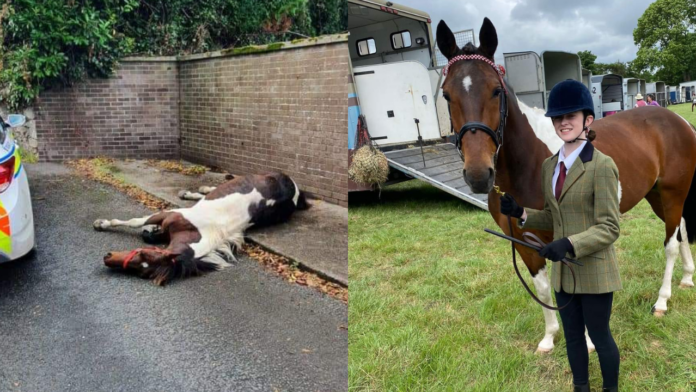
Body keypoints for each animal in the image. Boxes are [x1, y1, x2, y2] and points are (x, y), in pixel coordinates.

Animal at [92, 172, 308, 284]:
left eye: (143, 261)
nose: (107, 258)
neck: (196, 232)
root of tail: (293, 187)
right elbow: (141, 224)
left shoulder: (170, 214)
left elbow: (137, 222)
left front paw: (102, 223)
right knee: (212, 190)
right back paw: (193, 192)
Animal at [438, 17, 696, 352]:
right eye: (446, 95)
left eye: (496, 90)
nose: (479, 174)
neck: (529, 163)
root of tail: (680, 122)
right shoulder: (523, 239)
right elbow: (543, 287)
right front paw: (549, 338)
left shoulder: (569, 236)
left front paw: (586, 343)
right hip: (657, 197)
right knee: (682, 230)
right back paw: (687, 278)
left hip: (673, 193)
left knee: (671, 244)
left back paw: (662, 301)